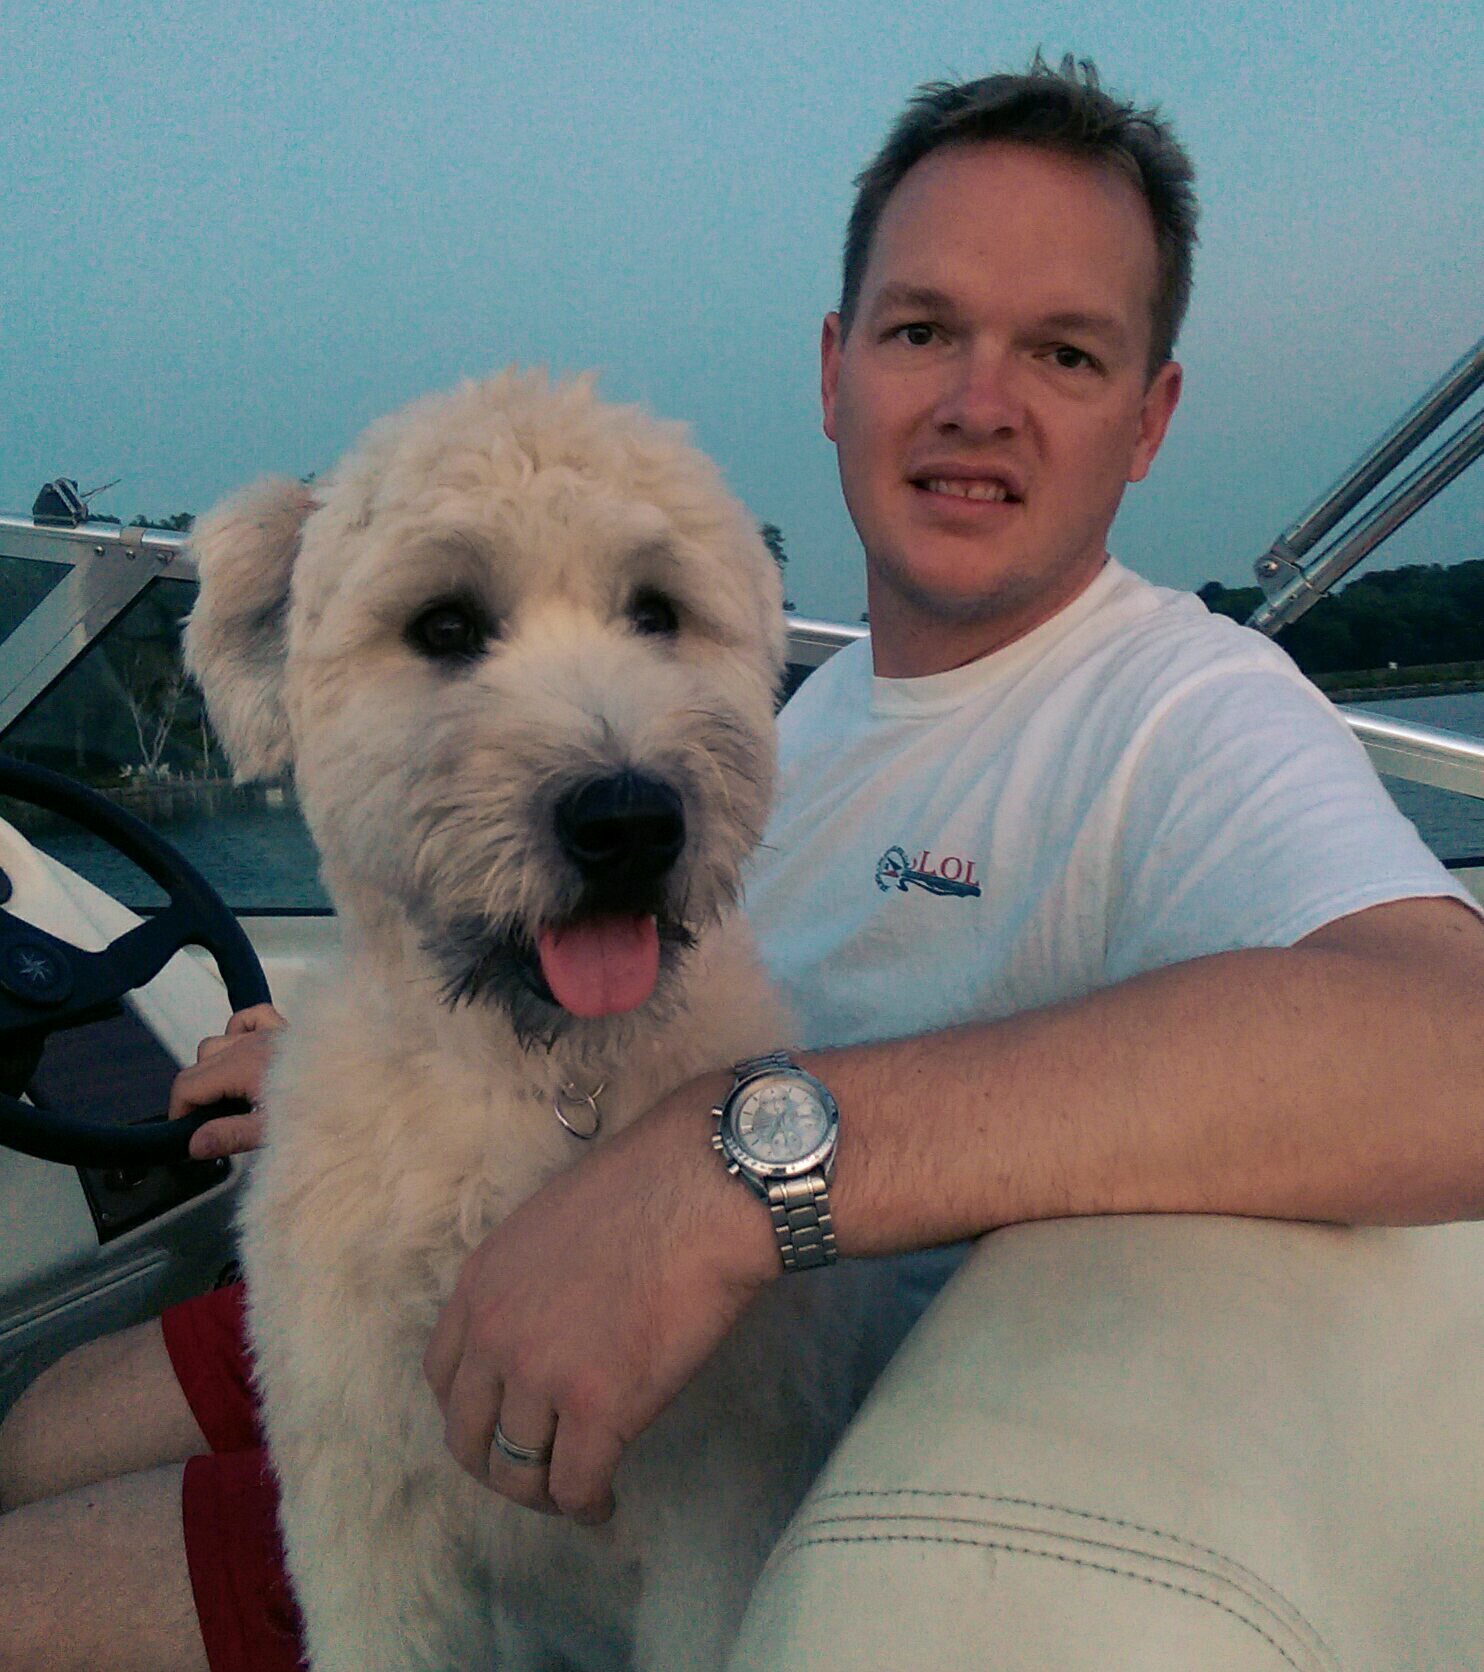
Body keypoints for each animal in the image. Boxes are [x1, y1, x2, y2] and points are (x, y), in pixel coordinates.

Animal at [184, 371, 900, 1671]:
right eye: (444, 626)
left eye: (656, 611)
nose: (629, 819)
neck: (541, 1084)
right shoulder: (365, 1512)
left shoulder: (717, 1498)